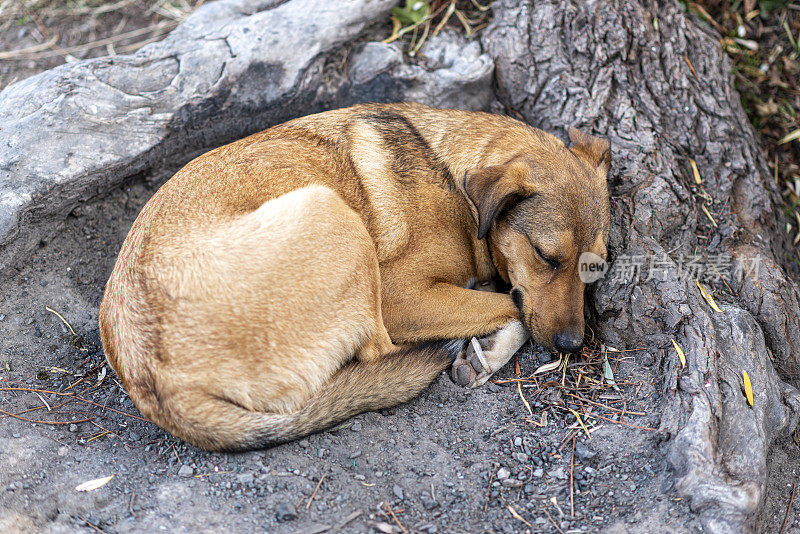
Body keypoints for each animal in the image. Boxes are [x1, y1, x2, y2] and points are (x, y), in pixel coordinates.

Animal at [97, 101, 608, 452]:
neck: (454, 178)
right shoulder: (403, 298)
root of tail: (158, 386)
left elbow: (515, 306)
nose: (571, 345)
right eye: (546, 257)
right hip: (333, 213)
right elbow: (513, 305)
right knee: (383, 354)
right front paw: (491, 344)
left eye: (595, 268)